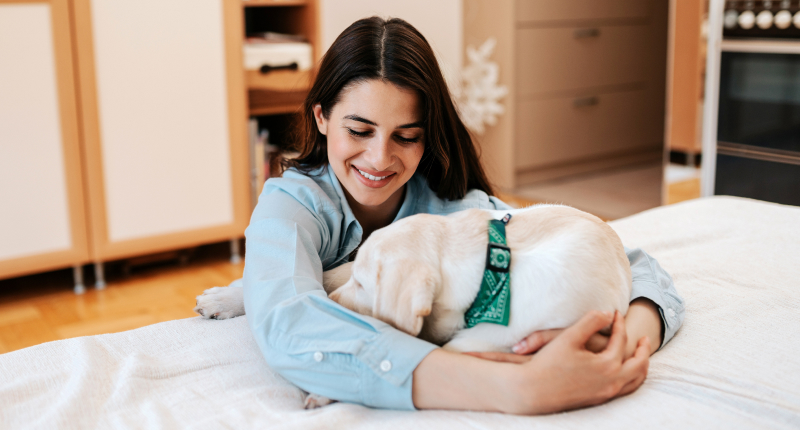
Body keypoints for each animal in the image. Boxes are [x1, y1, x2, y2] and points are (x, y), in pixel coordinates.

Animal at [195, 204, 632, 406]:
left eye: (365, 284)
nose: (331, 304)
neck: (494, 269)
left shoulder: (476, 345)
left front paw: (327, 391)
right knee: (311, 277)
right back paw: (224, 299)